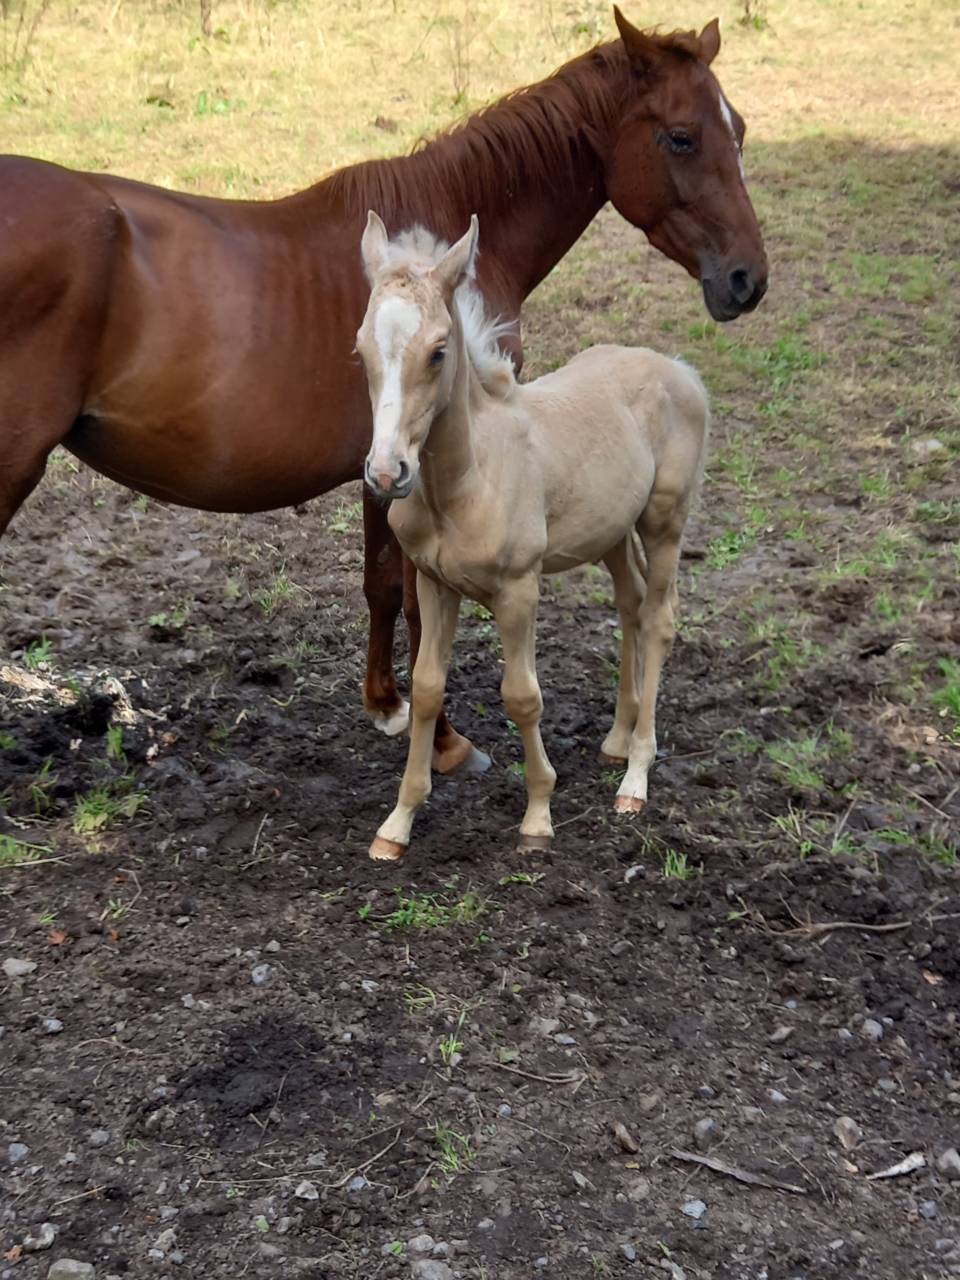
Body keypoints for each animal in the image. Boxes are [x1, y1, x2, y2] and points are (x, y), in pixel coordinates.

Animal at [0, 7, 764, 775]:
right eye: (681, 136)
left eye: (740, 130)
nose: (747, 279)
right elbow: (421, 604)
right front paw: (445, 740)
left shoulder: (386, 467)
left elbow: (383, 585)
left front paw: (387, 705)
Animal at [355, 212, 709, 861]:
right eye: (362, 348)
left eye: (438, 352)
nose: (388, 473)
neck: (463, 483)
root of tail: (679, 368)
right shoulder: (434, 583)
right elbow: (427, 688)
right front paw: (398, 822)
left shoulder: (518, 590)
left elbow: (522, 695)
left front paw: (539, 815)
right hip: (611, 532)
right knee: (631, 602)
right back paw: (617, 737)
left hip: (665, 519)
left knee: (659, 617)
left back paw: (636, 775)